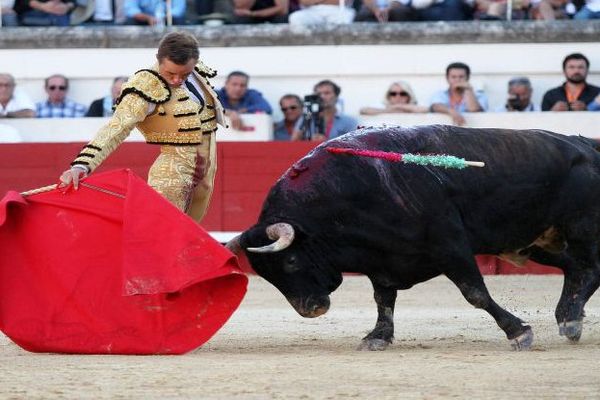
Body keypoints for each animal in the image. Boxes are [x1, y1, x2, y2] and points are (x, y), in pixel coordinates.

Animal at [226, 125, 600, 350]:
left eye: (290, 260)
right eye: (267, 276)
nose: (310, 310)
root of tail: (586, 145)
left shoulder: (450, 245)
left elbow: (475, 293)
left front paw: (518, 332)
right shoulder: (381, 260)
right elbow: (383, 300)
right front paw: (377, 337)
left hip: (579, 227)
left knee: (589, 267)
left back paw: (569, 320)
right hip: (528, 242)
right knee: (575, 268)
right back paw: (569, 318)